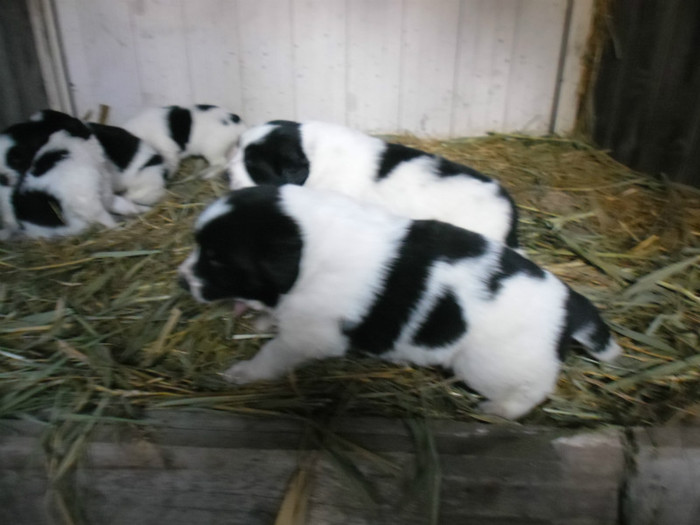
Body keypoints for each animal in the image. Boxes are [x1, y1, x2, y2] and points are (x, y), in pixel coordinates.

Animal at [178, 184, 620, 418]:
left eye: (216, 259)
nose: (181, 281)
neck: (307, 248)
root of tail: (570, 304)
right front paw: (262, 319)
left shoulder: (311, 334)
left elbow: (272, 354)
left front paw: (244, 372)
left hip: (491, 366)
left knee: (531, 391)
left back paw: (496, 411)